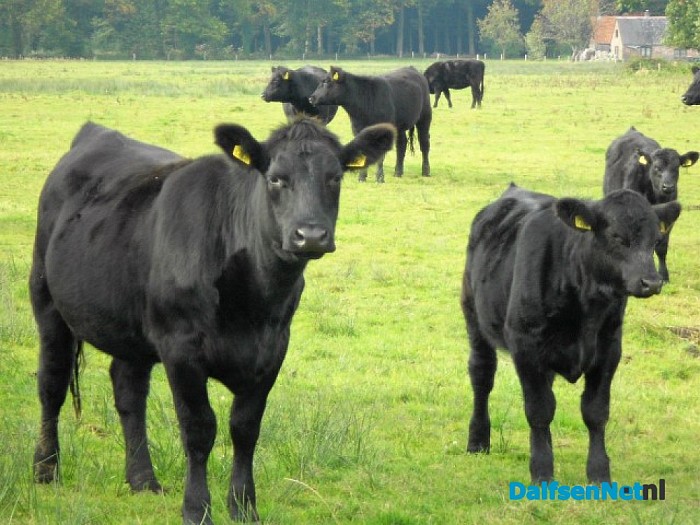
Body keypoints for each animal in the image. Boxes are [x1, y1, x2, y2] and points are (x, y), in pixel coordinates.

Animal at [29, 119, 395, 524]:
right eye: (275, 178)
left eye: (335, 178)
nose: (310, 235)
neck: (253, 302)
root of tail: (95, 132)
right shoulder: (181, 349)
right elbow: (199, 428)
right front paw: (196, 508)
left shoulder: (273, 350)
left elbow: (245, 429)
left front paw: (244, 506)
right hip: (47, 299)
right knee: (52, 384)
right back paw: (46, 469)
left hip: (133, 328)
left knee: (128, 392)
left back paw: (143, 480)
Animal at [461, 183, 681, 485]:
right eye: (616, 236)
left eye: (655, 239)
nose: (651, 282)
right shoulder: (525, 344)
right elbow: (539, 410)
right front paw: (542, 471)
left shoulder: (609, 348)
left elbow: (595, 411)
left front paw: (599, 473)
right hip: (474, 316)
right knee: (482, 377)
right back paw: (478, 441)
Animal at [603, 127, 698, 282]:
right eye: (656, 167)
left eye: (676, 168)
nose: (668, 187)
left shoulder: (670, 216)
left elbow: (661, 246)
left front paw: (664, 276)